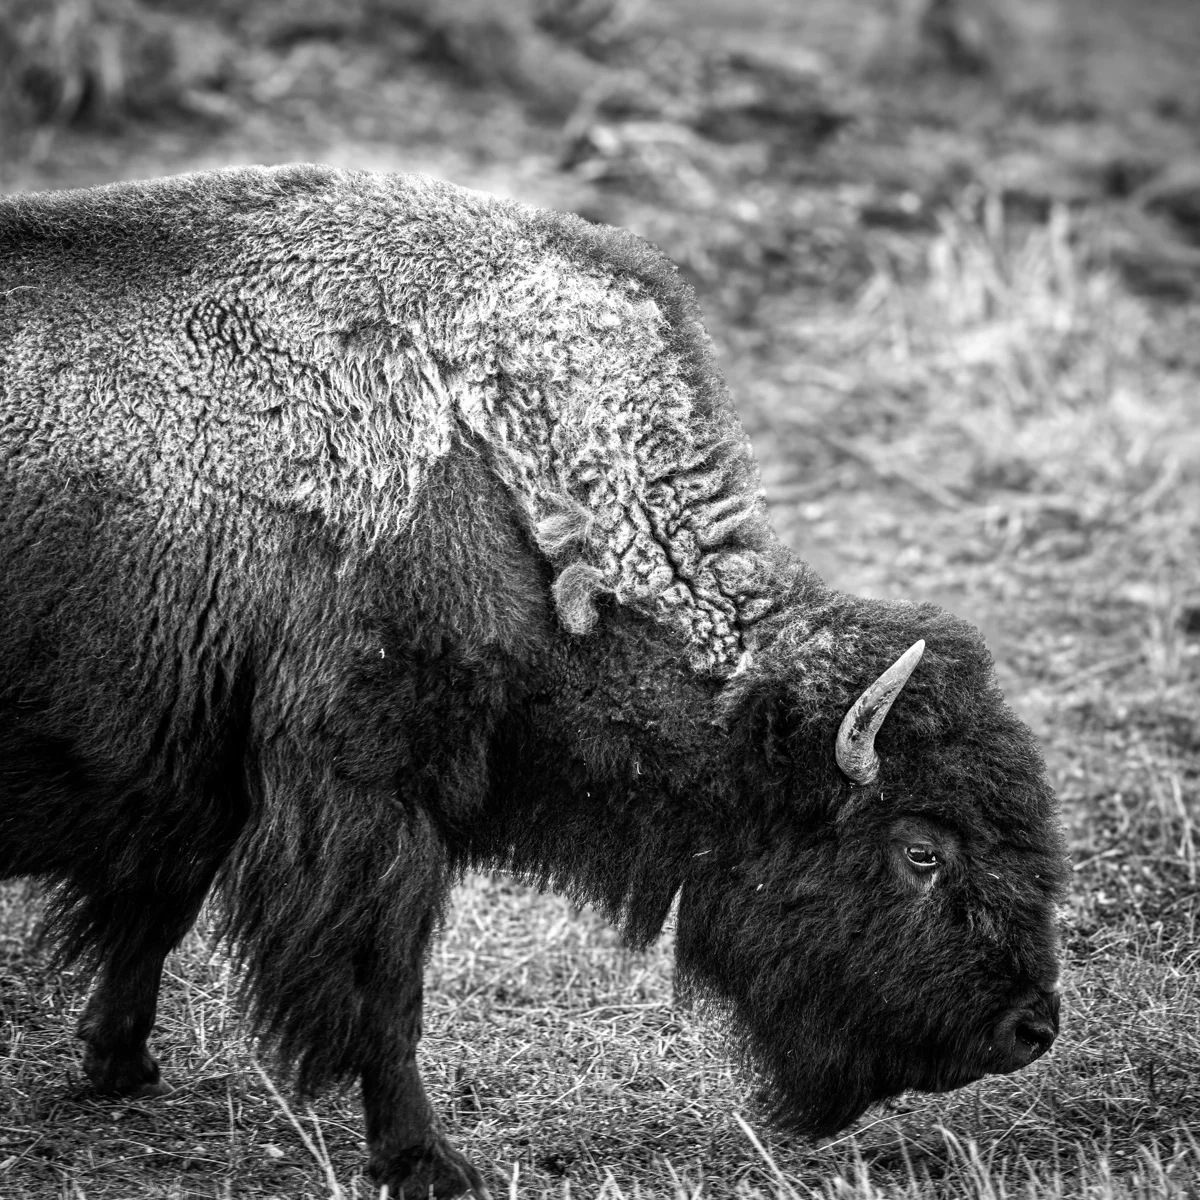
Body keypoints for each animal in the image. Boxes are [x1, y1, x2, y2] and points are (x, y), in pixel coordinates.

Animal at [0, 165, 1068, 1198]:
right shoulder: (367, 795)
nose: (1030, 1029)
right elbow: (381, 989)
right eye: (920, 851)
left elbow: (156, 913)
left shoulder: (206, 776)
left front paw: (120, 1064)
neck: (509, 473)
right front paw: (430, 1163)